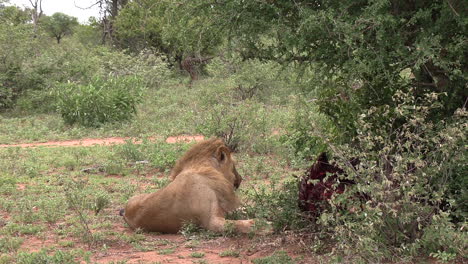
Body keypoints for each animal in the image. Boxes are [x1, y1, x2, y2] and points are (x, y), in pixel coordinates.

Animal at [119, 138, 260, 233]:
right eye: (234, 165)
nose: (240, 179)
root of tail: (125, 211)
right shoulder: (211, 221)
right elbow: (240, 224)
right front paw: (260, 223)